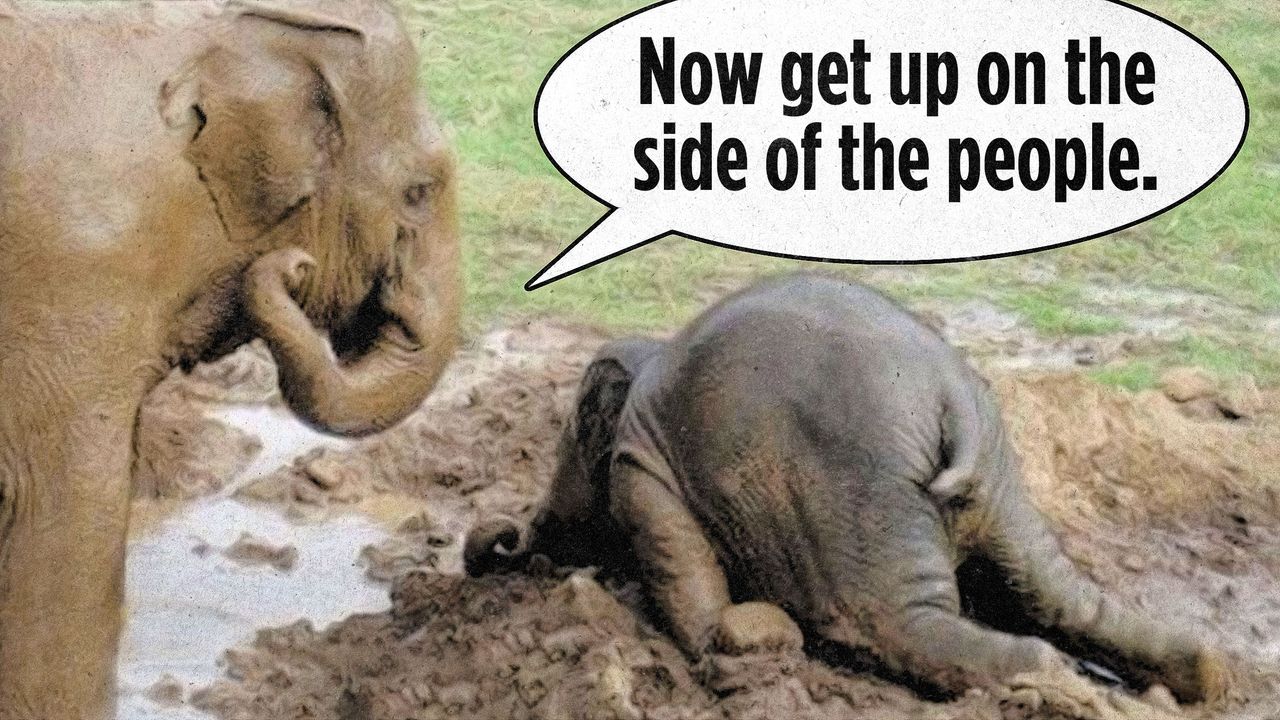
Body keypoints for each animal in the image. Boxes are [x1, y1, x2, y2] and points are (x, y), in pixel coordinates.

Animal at [466, 274, 1227, 704]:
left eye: (570, 432)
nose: (499, 537)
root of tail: (954, 395)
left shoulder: (642, 470)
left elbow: (679, 563)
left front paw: (726, 646)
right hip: (996, 484)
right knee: (1060, 598)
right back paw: (1196, 679)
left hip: (859, 493)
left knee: (893, 622)